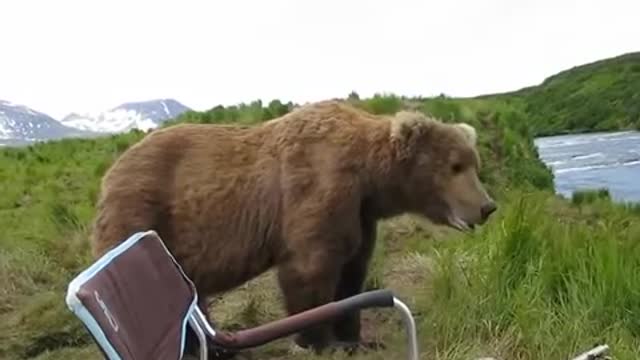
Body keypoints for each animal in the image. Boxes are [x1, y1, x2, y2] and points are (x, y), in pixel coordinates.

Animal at [90, 99, 498, 358]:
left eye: (473, 163)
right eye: (455, 166)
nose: (486, 206)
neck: (369, 177)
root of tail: (109, 172)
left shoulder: (360, 215)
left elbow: (352, 272)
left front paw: (356, 338)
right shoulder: (317, 190)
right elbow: (310, 270)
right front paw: (317, 341)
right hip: (143, 213)